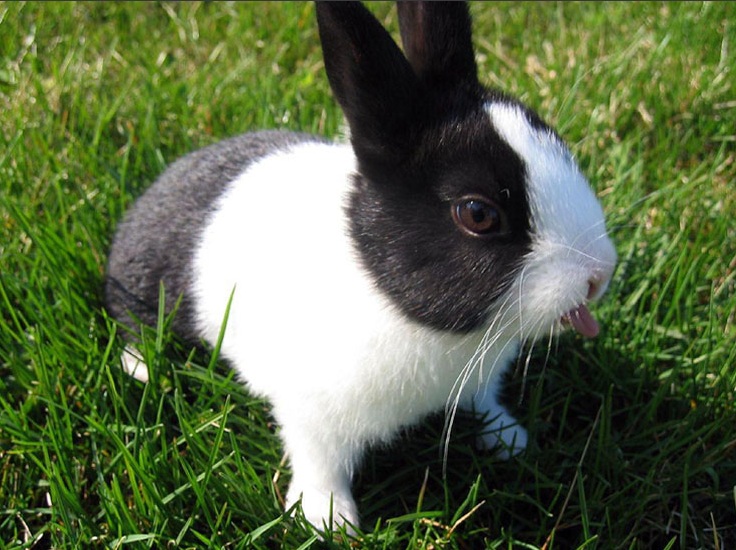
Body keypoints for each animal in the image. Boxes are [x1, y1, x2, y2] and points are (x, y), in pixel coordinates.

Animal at [105, 0, 617, 534]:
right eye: (478, 214)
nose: (599, 276)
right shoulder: (311, 413)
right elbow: (318, 461)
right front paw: (328, 520)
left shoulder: (478, 379)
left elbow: (483, 402)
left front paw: (509, 440)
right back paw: (145, 371)